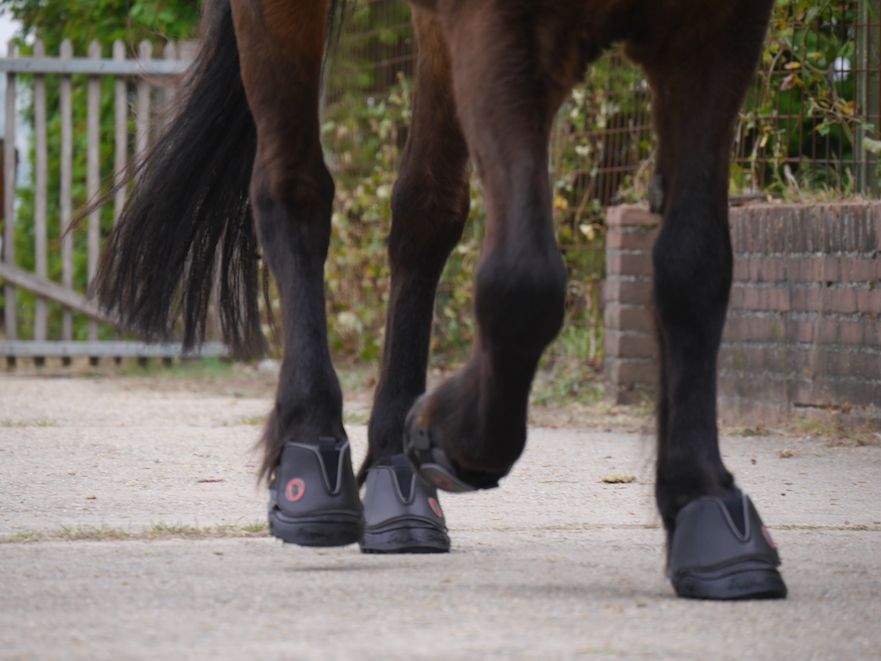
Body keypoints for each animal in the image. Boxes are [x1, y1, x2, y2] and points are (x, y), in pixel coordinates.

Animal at [96, 0, 784, 600]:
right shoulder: (501, 29)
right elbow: (524, 278)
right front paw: (449, 432)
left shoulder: (718, 33)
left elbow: (696, 265)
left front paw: (706, 507)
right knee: (291, 186)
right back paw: (313, 457)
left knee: (423, 211)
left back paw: (397, 474)